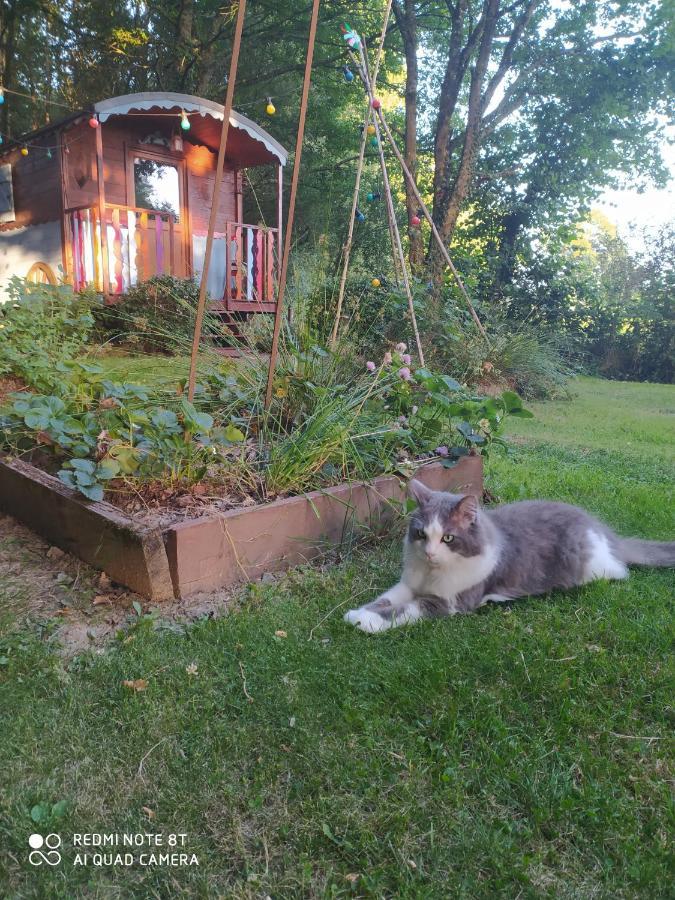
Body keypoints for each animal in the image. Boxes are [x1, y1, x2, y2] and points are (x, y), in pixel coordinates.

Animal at [346, 478, 672, 632]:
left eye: (448, 538)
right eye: (421, 534)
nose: (428, 553)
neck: (431, 574)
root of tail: (602, 531)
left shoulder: (449, 602)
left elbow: (402, 610)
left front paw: (367, 622)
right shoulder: (408, 585)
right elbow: (387, 599)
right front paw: (358, 612)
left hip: (592, 567)